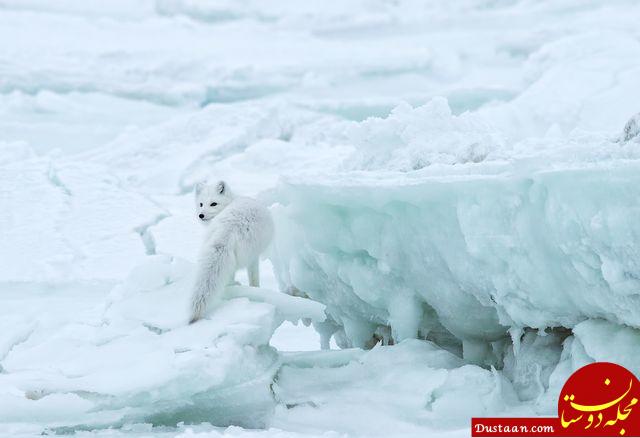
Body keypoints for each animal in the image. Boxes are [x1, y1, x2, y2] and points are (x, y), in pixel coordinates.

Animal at [188, 180, 272, 324]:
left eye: (213, 203)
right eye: (201, 204)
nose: (201, 215)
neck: (232, 200)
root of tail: (228, 228)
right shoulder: (254, 257)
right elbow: (254, 278)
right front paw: (256, 289)